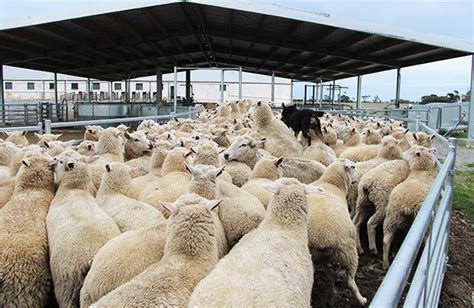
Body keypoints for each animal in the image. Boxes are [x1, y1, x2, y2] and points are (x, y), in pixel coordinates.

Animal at [306, 159, 368, 306]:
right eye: (353, 166)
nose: (358, 178)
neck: (331, 183)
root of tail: (322, 238)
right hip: (350, 253)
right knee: (350, 281)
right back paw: (361, 299)